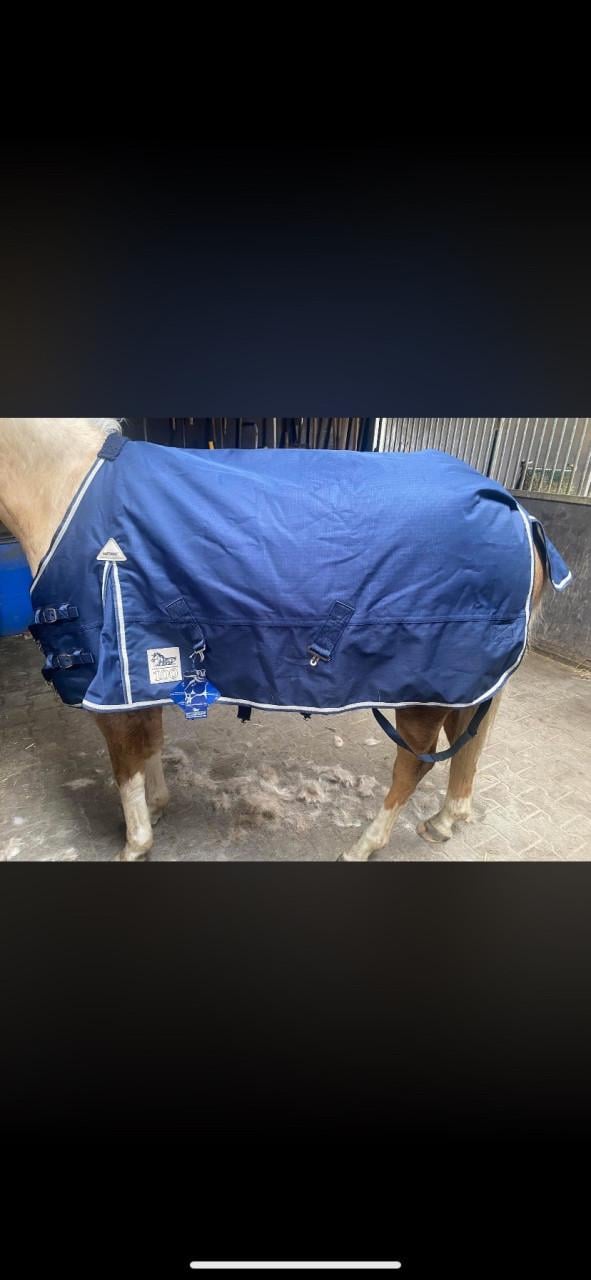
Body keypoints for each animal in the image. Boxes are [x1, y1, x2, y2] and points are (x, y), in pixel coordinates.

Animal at [0, 418, 558, 862]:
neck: (67, 485)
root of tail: (517, 511)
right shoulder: (145, 672)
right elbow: (149, 745)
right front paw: (157, 810)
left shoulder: (108, 680)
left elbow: (126, 766)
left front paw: (135, 844)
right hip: (464, 685)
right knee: (464, 745)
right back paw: (444, 820)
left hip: (427, 687)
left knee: (414, 764)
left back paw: (363, 845)